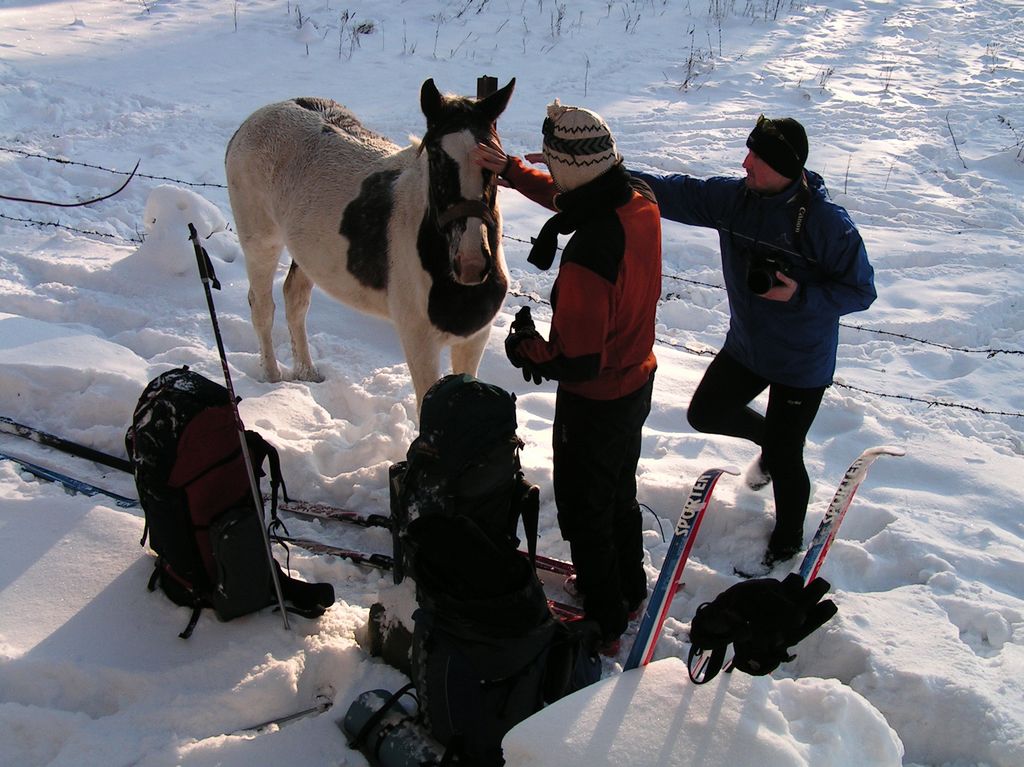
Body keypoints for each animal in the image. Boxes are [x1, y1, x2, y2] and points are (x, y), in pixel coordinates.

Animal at [224, 79, 512, 407]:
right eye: (437, 157)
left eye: (495, 160)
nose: (471, 263)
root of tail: (258, 117)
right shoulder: (419, 341)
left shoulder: (474, 339)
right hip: (261, 243)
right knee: (262, 307)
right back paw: (272, 378)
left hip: (306, 253)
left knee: (295, 300)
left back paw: (307, 373)